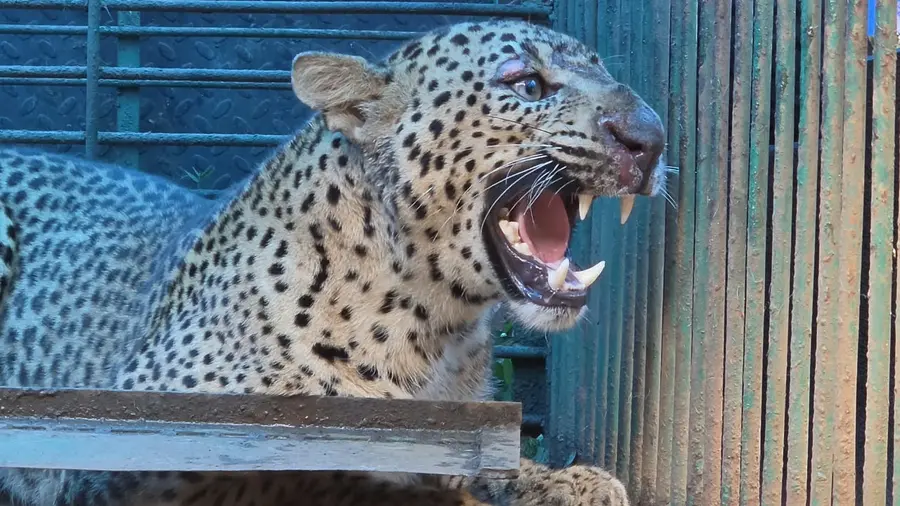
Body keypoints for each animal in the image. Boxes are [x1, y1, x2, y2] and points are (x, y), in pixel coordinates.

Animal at [0, 18, 666, 506]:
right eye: (527, 84)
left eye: (607, 72)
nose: (650, 137)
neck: (438, 325)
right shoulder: (133, 443)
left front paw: (570, 481)